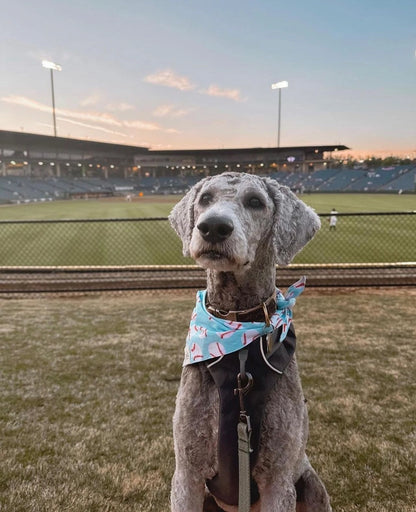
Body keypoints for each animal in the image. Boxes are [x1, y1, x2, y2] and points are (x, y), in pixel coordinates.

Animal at [169, 173, 332, 512]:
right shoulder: (187, 474)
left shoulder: (278, 480)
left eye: (255, 201)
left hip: (311, 485)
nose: (213, 227)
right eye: (205, 198)